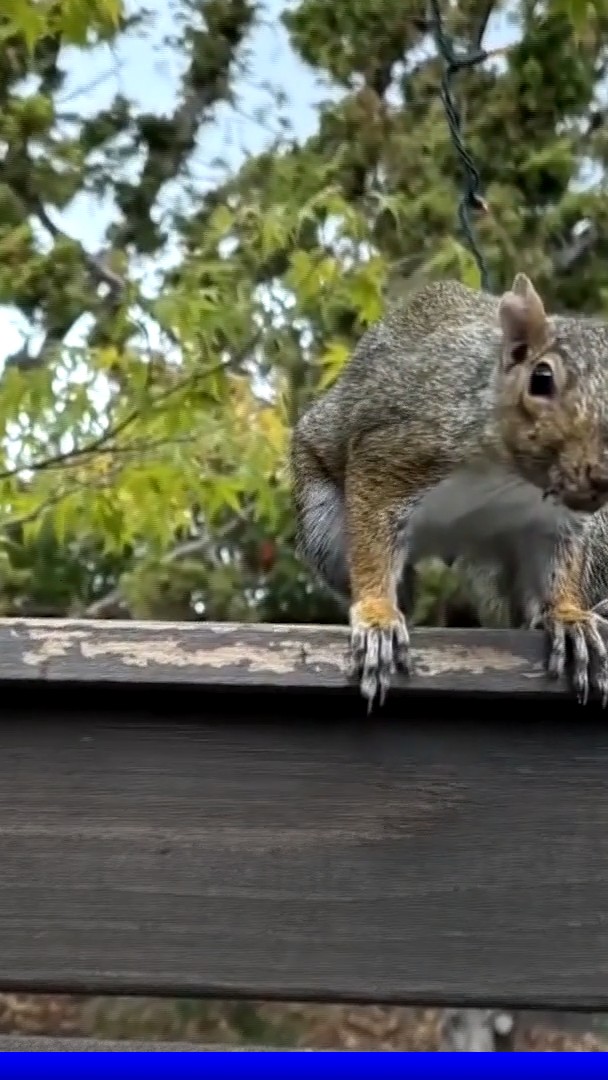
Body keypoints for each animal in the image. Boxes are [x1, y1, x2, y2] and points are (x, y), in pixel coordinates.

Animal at [290, 273, 608, 709]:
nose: (600, 476)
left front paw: (568, 617)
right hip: (324, 524)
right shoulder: (398, 449)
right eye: (541, 379)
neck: (510, 476)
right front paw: (377, 617)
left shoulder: (557, 522)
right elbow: (372, 538)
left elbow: (560, 567)